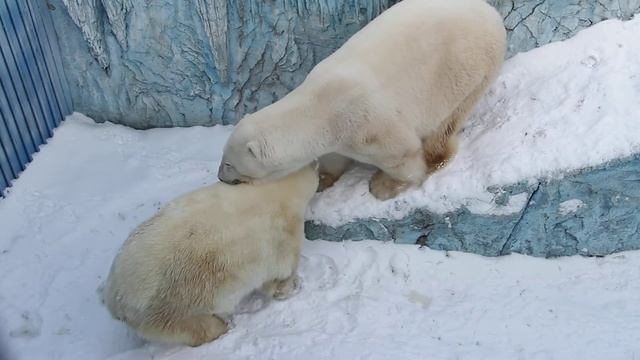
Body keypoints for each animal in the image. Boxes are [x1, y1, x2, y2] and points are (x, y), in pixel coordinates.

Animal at [103, 165, 320, 348]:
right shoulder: (280, 234)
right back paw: (223, 326)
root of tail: (115, 298)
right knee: (195, 326)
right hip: (171, 307)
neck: (278, 189)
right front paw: (292, 286)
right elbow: (280, 272)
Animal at [218, 0, 508, 200]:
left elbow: (402, 155)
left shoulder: (365, 123)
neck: (318, 105)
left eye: (229, 163)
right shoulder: (337, 133)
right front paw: (322, 179)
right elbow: (334, 156)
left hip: (469, 71)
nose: (220, 177)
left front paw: (384, 186)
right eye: (224, 158)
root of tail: (490, 11)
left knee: (448, 120)